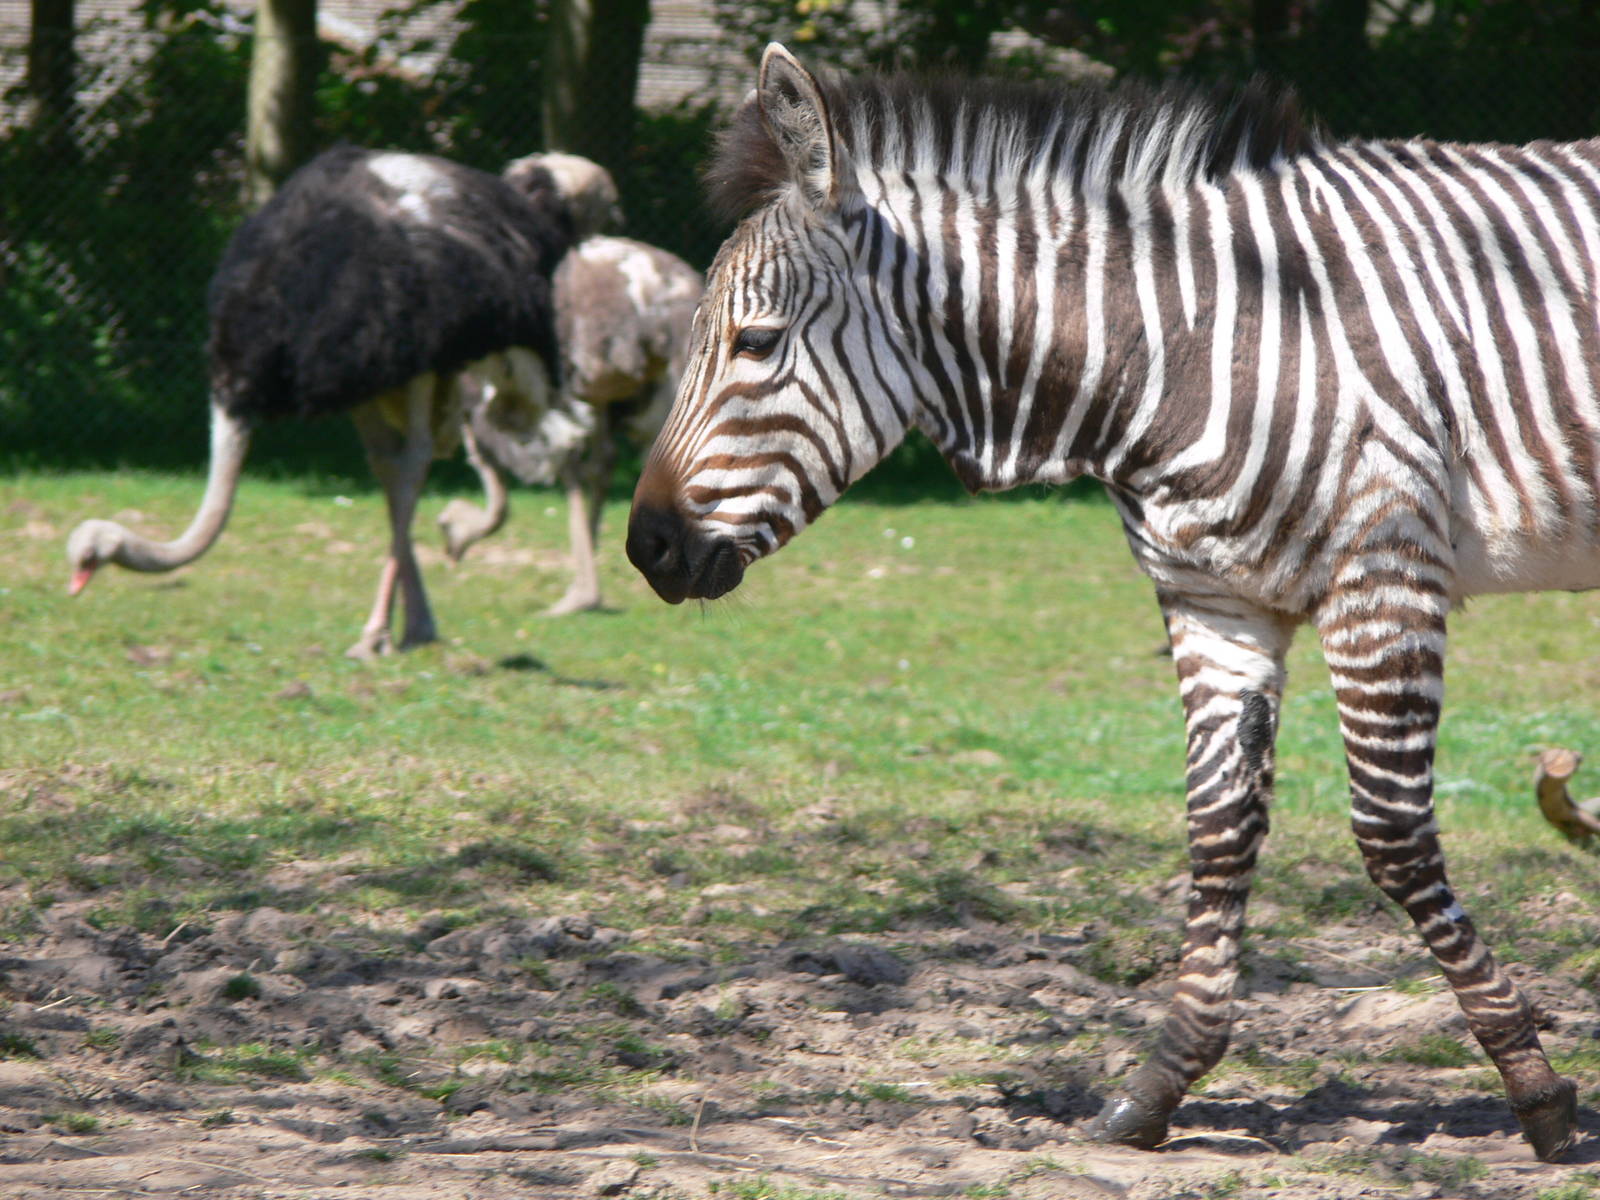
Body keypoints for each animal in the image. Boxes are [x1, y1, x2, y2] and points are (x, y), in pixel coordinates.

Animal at [627, 44, 1592, 1158]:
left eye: (755, 343)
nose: (645, 546)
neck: (1184, 345)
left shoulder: (1382, 570)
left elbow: (1391, 836)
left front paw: (1535, 1087)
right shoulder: (1213, 597)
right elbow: (1219, 828)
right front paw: (1160, 1085)